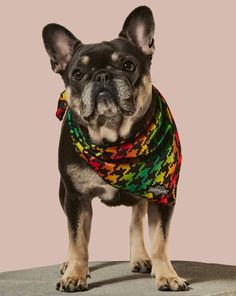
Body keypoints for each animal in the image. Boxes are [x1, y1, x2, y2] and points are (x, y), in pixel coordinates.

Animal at [42, 5, 188, 292]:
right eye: (77, 74)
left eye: (127, 65)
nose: (102, 75)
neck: (114, 141)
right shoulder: (76, 198)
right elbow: (78, 239)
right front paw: (75, 274)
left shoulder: (163, 197)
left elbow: (160, 240)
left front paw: (167, 275)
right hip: (64, 194)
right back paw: (69, 264)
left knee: (135, 221)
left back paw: (141, 258)